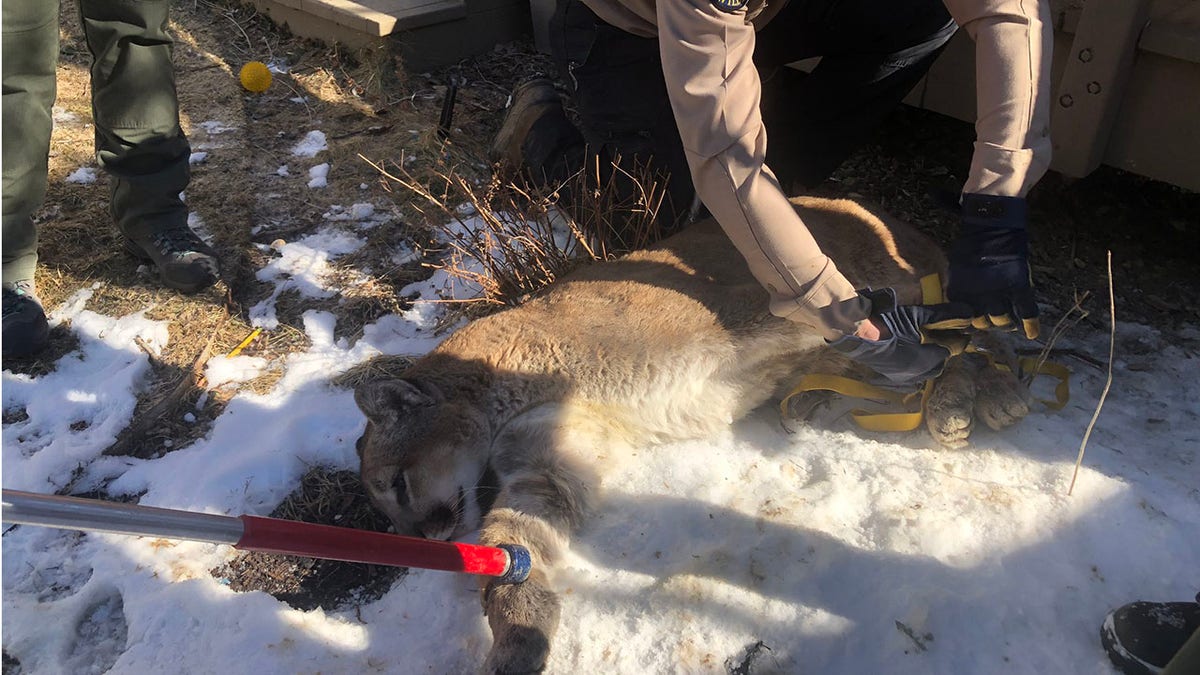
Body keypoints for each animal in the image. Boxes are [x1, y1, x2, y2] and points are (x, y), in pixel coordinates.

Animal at [350, 193, 1027, 667]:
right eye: (387, 517)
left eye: (398, 484)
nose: (425, 537)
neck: (503, 390)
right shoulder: (547, 466)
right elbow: (515, 547)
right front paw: (520, 635)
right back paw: (819, 395)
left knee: (971, 332)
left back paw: (974, 400)